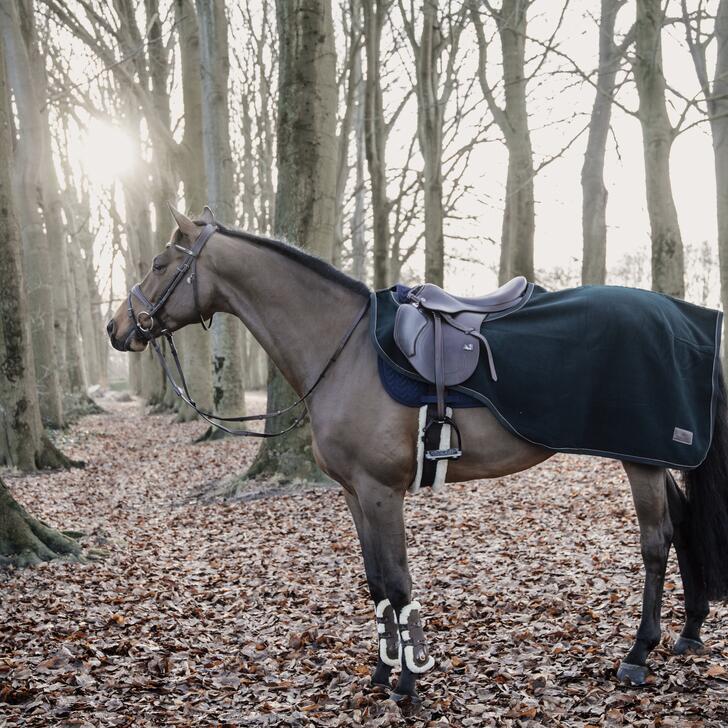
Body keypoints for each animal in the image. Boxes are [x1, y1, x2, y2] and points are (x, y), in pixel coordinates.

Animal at [107, 206, 728, 703]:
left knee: (656, 541)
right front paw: (382, 674)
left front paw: (407, 682)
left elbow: (399, 582)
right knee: (683, 522)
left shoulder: (382, 492)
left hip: (641, 457)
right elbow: (376, 582)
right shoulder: (355, 493)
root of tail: (684, 320)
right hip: (647, 456)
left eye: (159, 264)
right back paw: (689, 631)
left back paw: (638, 655)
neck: (346, 349)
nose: (117, 328)